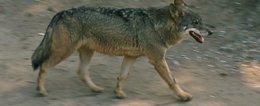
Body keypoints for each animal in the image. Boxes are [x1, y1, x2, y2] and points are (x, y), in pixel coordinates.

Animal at [31, 0, 211, 101]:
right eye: (196, 22)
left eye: (202, 21)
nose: (211, 32)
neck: (157, 26)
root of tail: (59, 14)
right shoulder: (158, 60)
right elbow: (173, 81)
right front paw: (183, 96)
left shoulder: (130, 57)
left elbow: (122, 77)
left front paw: (118, 93)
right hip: (64, 52)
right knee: (44, 66)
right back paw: (41, 91)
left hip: (87, 53)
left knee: (81, 72)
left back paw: (96, 89)